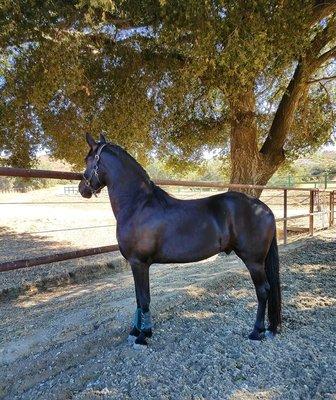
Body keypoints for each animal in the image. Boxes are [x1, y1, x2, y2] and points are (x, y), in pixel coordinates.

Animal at [79, 134, 280, 346]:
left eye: (87, 159)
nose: (82, 189)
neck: (138, 205)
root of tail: (263, 208)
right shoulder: (136, 264)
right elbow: (138, 299)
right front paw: (135, 331)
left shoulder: (139, 263)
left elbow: (144, 299)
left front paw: (143, 335)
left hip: (254, 261)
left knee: (263, 291)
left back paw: (256, 331)